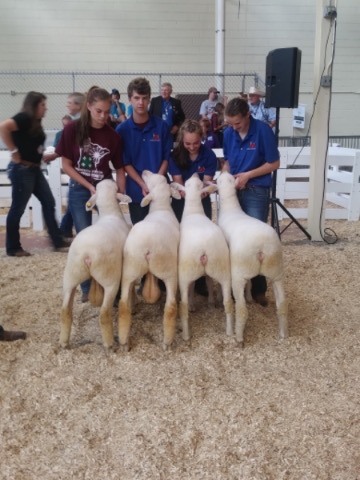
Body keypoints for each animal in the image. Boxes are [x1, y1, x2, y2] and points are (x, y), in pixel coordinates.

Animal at [59, 179, 131, 348]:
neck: (111, 214)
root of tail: (87, 254)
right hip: (110, 278)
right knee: (104, 314)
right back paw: (109, 344)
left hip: (71, 275)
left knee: (65, 310)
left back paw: (64, 342)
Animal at [118, 171, 180, 350]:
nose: (145, 171)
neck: (161, 207)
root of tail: (147, 246)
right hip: (168, 271)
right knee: (171, 307)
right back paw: (167, 342)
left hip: (130, 269)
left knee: (123, 305)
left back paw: (124, 341)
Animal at [173, 174, 235, 344]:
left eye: (188, 182)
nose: (195, 174)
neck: (194, 211)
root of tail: (204, 249)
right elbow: (207, 281)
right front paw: (211, 302)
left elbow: (193, 286)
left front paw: (193, 304)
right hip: (222, 268)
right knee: (228, 303)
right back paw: (229, 332)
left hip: (185, 271)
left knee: (183, 305)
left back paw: (186, 335)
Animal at [215, 171, 288, 346]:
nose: (222, 170)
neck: (231, 207)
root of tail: (261, 248)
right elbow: (250, 284)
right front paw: (249, 297)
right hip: (276, 271)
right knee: (282, 305)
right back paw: (283, 334)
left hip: (239, 273)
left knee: (242, 310)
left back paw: (239, 337)